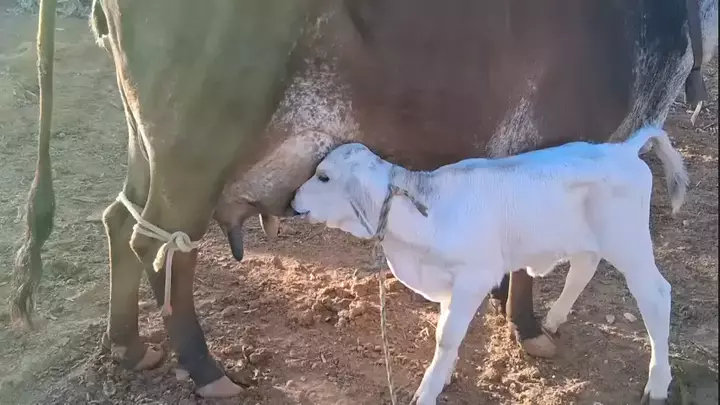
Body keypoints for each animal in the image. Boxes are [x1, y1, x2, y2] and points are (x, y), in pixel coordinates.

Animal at [11, 0, 718, 401]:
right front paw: (527, 325)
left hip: (149, 148)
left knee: (120, 224)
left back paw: (129, 346)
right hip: (195, 147)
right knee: (160, 246)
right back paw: (205, 368)